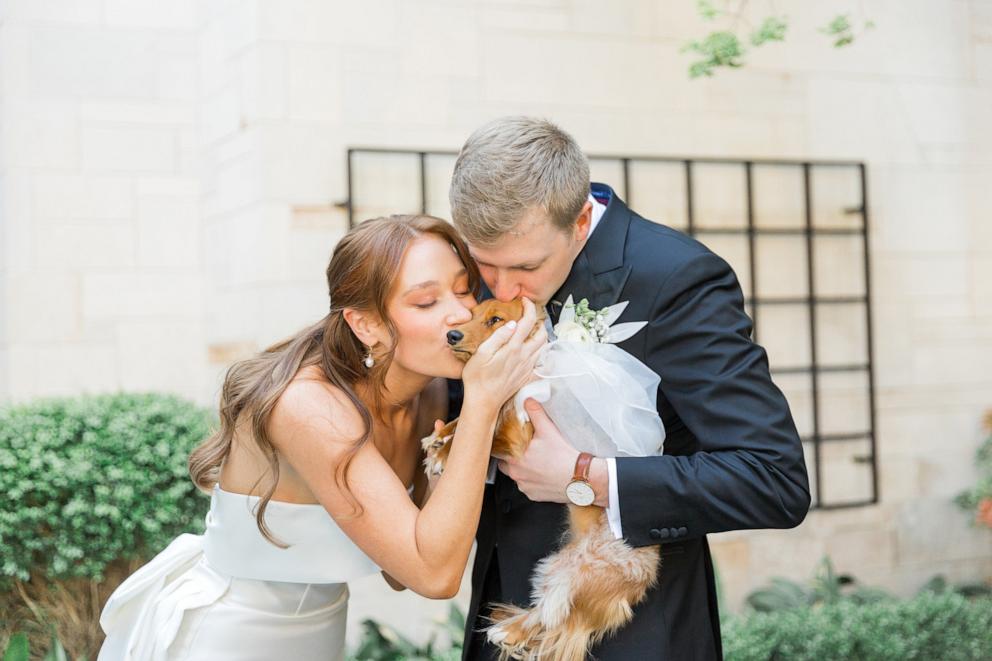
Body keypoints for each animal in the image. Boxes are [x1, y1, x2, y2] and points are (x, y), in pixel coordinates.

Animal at [418, 300, 660, 660]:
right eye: (470, 314)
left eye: (495, 320)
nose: (452, 335)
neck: (530, 371)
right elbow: (471, 419)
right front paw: (440, 437)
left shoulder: (519, 435)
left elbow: (486, 436)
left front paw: (444, 454)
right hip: (553, 567)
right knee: (545, 613)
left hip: (574, 579)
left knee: (552, 617)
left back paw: (509, 632)